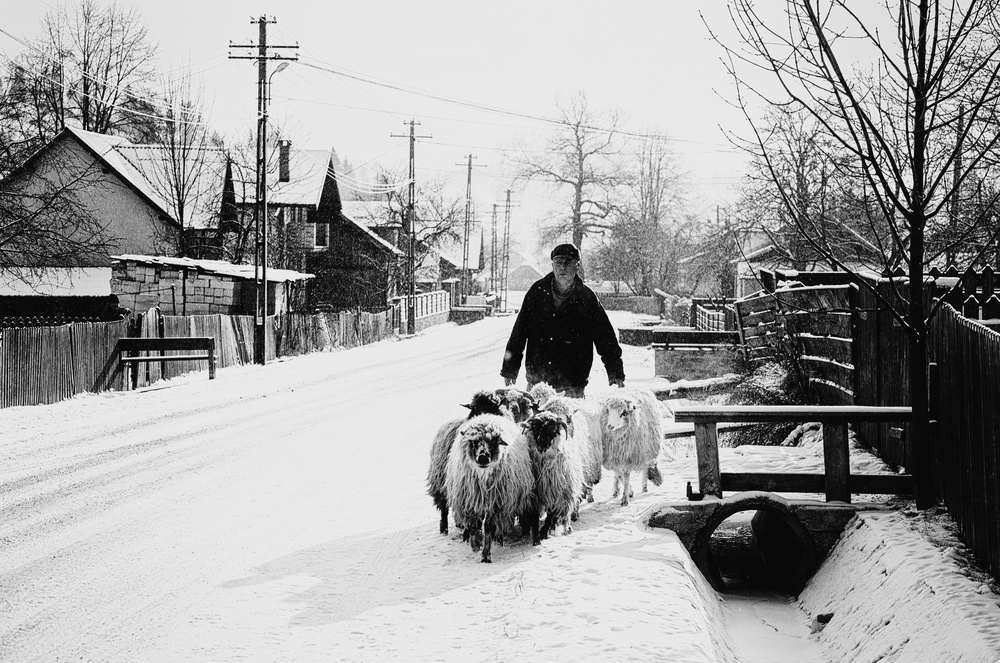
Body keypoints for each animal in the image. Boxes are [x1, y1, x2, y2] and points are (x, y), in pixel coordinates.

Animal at [446, 418, 540, 564]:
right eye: (473, 442)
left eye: (493, 441)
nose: (483, 457)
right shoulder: (468, 502)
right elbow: (473, 525)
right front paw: (475, 544)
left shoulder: (496, 504)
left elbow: (489, 527)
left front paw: (486, 555)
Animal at [524, 410, 584, 544]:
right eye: (535, 427)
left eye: (552, 429)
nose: (541, 445)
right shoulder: (534, 496)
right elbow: (534, 518)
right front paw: (536, 540)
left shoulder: (556, 494)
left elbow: (550, 516)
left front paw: (543, 532)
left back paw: (566, 527)